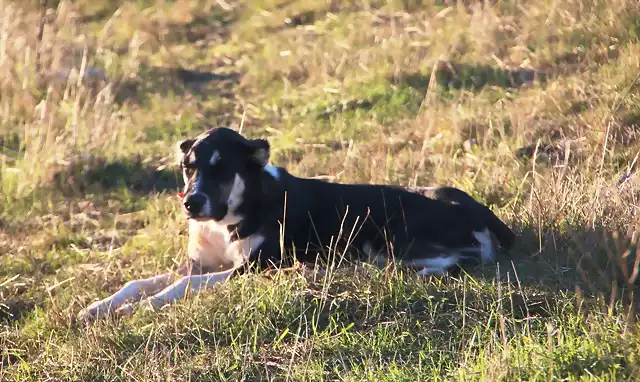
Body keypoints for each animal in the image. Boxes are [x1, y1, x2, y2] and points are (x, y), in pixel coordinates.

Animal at [76, 127, 516, 320]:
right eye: (188, 167)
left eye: (221, 169)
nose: (190, 204)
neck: (235, 210)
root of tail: (481, 210)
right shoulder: (201, 264)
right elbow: (139, 282)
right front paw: (98, 307)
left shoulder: (252, 267)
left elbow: (180, 286)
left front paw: (145, 306)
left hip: (389, 235)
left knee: (470, 255)